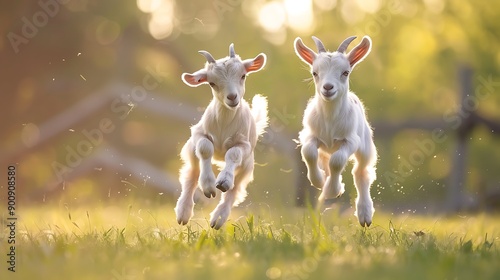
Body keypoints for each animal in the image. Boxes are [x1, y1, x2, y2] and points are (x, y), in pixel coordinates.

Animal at [174, 43, 268, 228]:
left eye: (243, 76)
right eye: (212, 83)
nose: (232, 97)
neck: (225, 121)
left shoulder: (244, 145)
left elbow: (233, 154)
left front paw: (223, 181)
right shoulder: (198, 134)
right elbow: (205, 148)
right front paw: (209, 186)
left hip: (246, 167)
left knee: (234, 190)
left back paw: (218, 219)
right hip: (190, 151)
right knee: (191, 176)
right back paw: (183, 212)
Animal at [294, 35, 376, 228]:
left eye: (345, 72)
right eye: (315, 73)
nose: (328, 88)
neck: (330, 121)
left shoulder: (350, 140)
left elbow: (337, 161)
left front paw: (333, 190)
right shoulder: (310, 135)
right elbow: (308, 152)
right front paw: (319, 181)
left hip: (365, 146)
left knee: (361, 172)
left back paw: (365, 214)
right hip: (326, 148)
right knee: (325, 160)